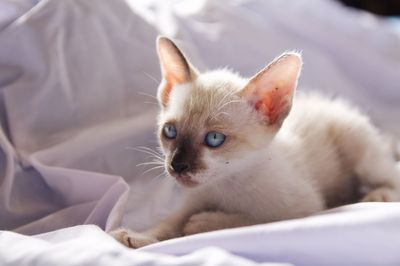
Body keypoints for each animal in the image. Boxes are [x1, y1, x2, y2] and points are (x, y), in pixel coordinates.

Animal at [111, 37, 400, 247]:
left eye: (214, 139)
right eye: (170, 132)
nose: (177, 166)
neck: (227, 183)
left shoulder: (301, 208)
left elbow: (250, 219)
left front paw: (202, 223)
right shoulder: (194, 199)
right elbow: (169, 223)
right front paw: (137, 236)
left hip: (358, 148)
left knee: (390, 175)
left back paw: (377, 195)